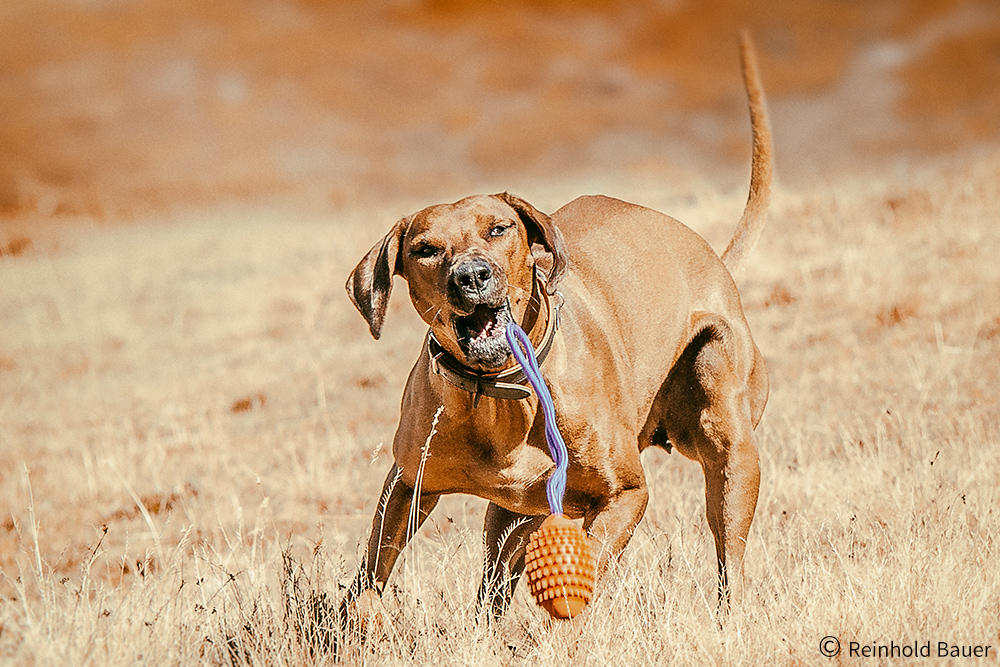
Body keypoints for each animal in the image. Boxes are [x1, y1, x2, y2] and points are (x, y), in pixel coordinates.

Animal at [344, 35, 772, 620]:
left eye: (498, 229)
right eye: (426, 249)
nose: (471, 276)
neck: (499, 393)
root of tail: (715, 262)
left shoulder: (626, 495)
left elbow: (592, 553)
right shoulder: (408, 483)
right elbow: (372, 568)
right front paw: (353, 622)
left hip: (724, 430)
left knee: (729, 539)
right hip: (511, 513)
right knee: (494, 575)